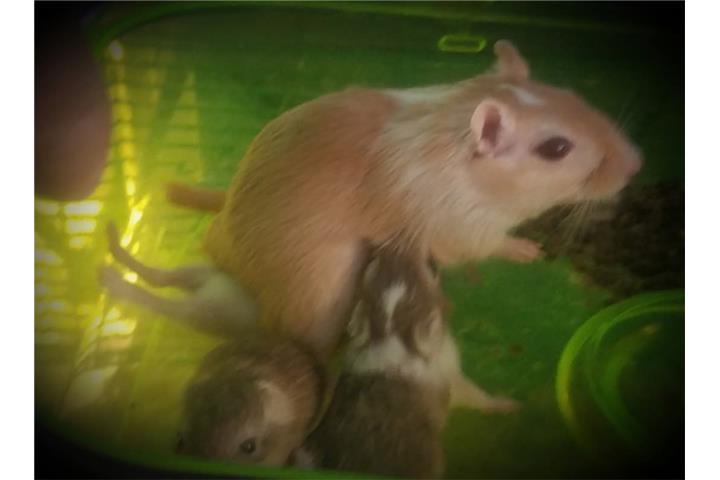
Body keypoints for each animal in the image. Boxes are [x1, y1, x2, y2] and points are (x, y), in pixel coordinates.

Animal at [167, 40, 643, 360]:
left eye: (571, 95)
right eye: (556, 149)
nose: (637, 164)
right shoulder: (465, 229)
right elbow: (491, 247)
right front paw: (529, 250)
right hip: (324, 288)